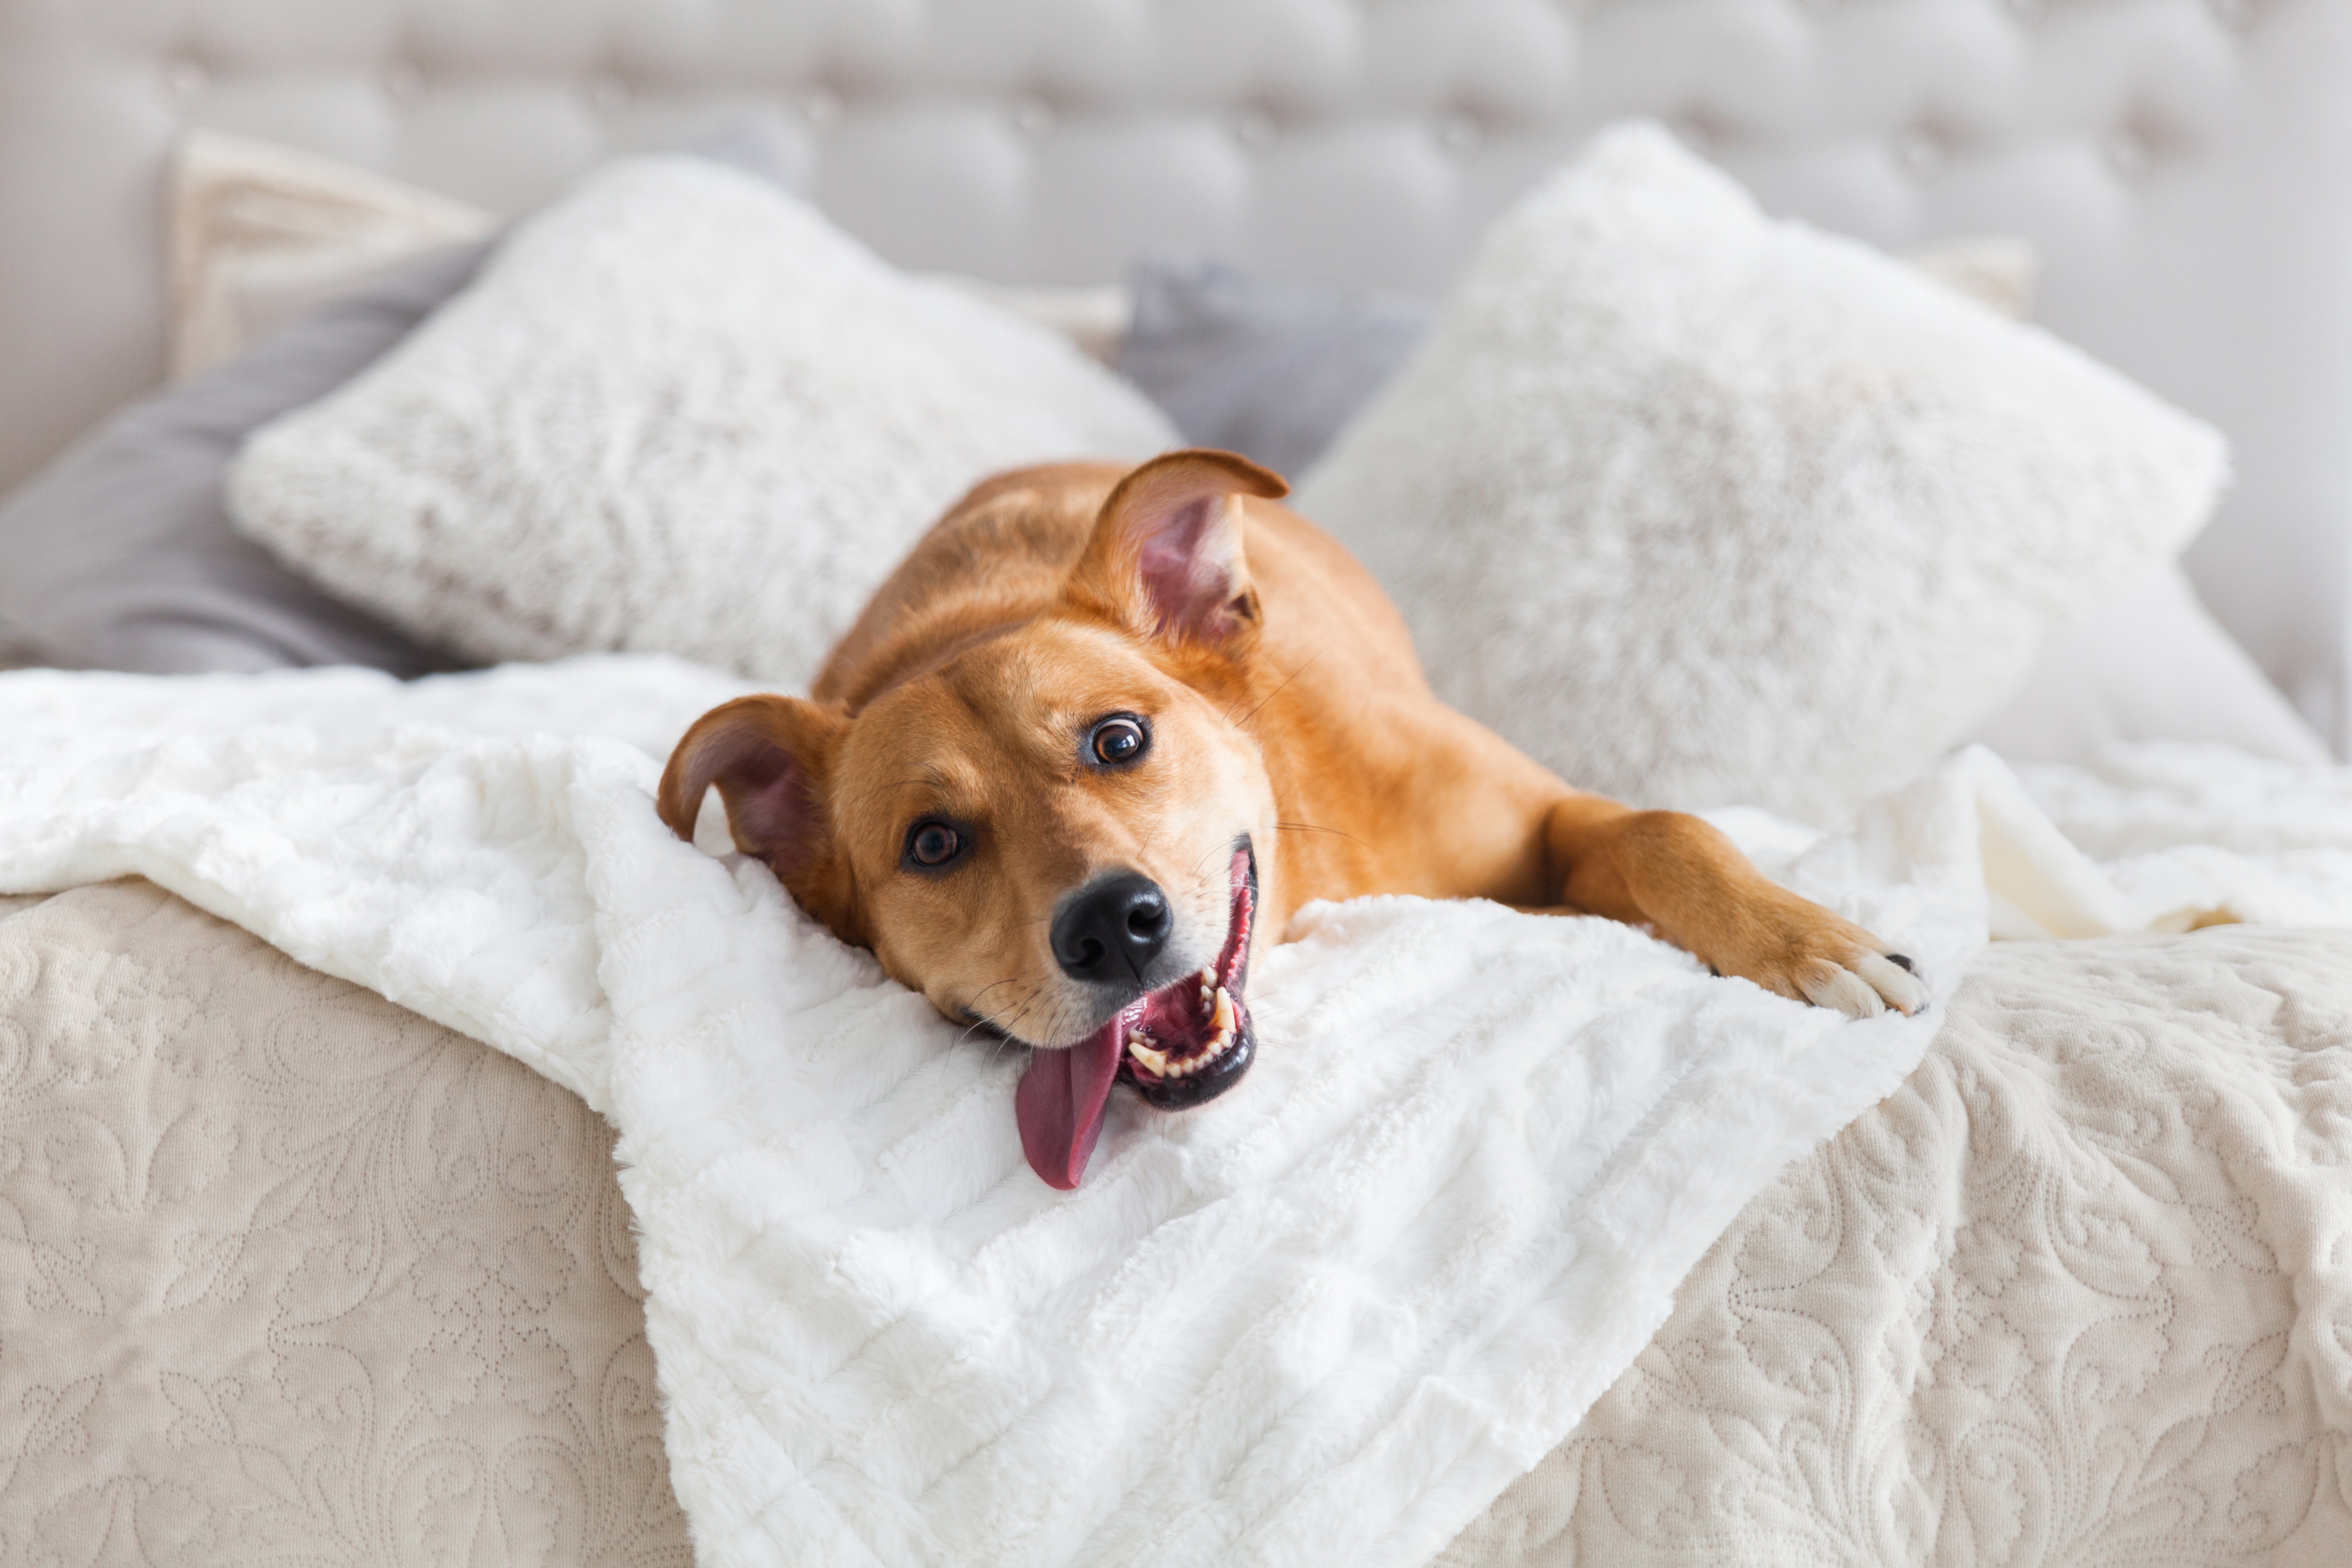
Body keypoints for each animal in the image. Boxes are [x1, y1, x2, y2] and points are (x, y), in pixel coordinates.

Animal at [653, 453, 1919, 1189]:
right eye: (931, 843)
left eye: (1117, 739)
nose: (1109, 926)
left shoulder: (1551, 818)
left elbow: (1665, 827)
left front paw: (1806, 940)